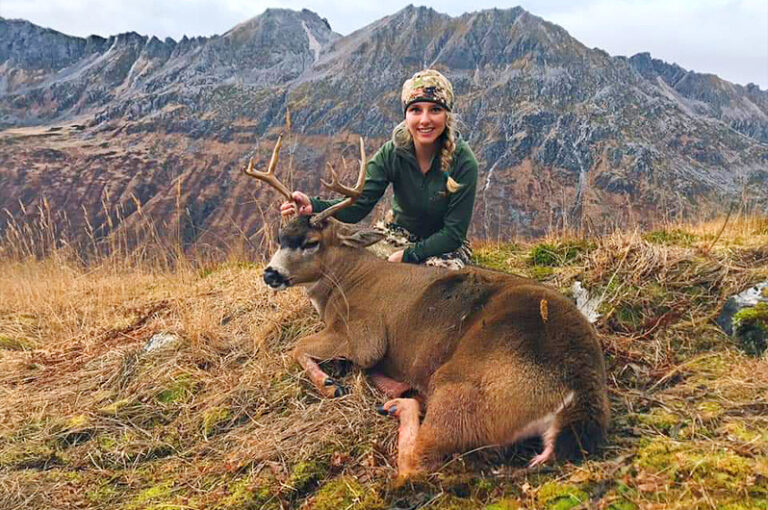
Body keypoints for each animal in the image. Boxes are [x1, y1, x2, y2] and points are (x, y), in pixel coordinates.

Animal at [244, 134, 610, 482]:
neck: (344, 282)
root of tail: (576, 398)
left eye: (311, 242)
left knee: (417, 462)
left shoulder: (363, 333)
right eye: (280, 236)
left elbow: (298, 346)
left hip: (461, 385)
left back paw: (398, 402)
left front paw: (330, 384)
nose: (270, 273)